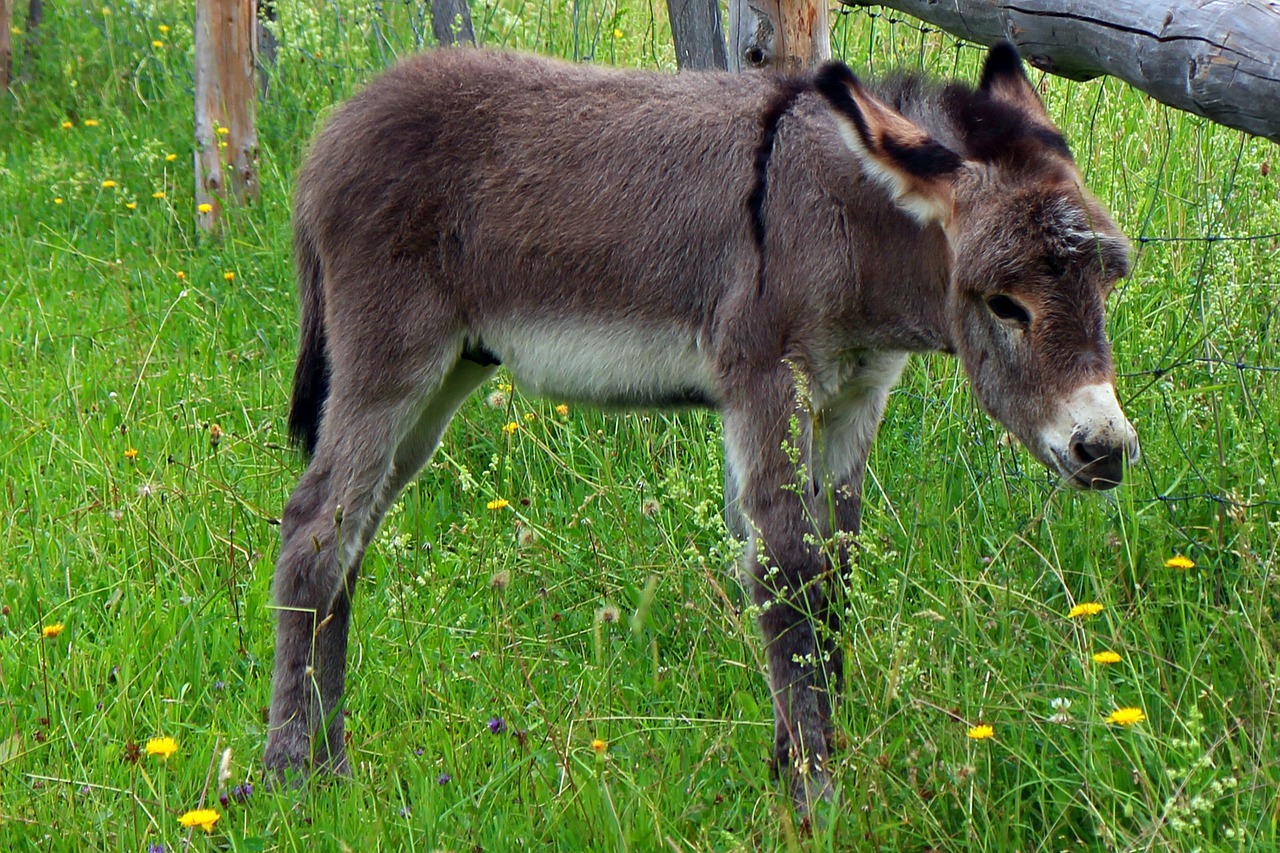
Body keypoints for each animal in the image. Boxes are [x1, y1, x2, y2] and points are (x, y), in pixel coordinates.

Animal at [262, 43, 1141, 814]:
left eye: (1107, 282)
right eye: (1005, 303)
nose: (1104, 450)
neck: (844, 219)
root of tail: (337, 129)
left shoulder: (853, 398)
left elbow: (835, 568)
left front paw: (797, 765)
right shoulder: (765, 378)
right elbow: (786, 572)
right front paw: (815, 799)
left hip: (448, 373)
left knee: (351, 538)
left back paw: (333, 766)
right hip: (391, 359)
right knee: (313, 527)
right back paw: (290, 778)